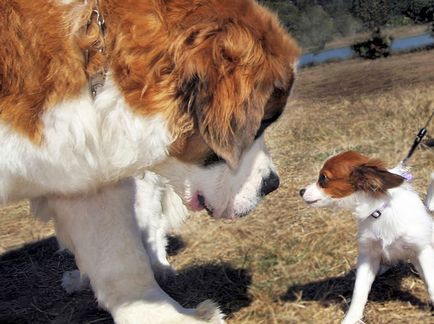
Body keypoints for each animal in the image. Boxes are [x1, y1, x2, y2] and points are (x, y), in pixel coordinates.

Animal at [300, 152, 434, 324]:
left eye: (323, 178)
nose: (301, 191)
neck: (379, 212)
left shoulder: (421, 251)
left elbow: (430, 282)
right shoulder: (367, 255)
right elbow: (359, 292)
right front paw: (351, 318)